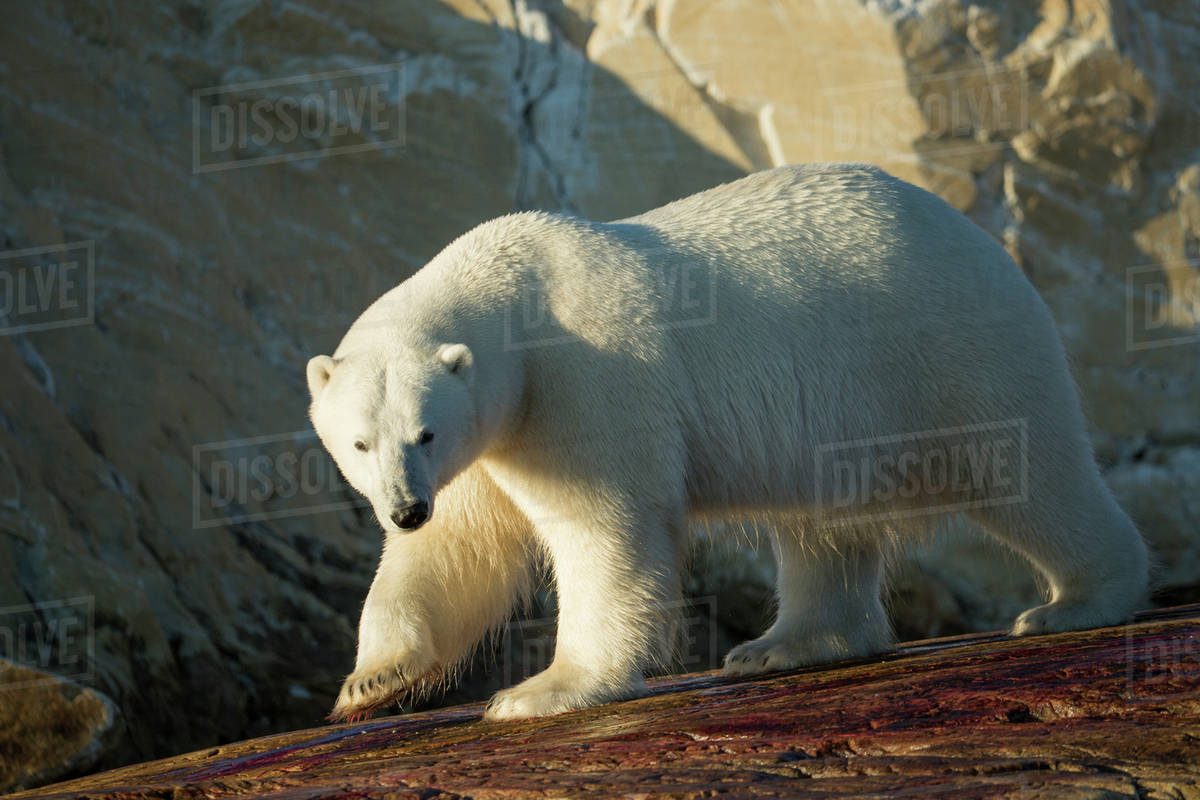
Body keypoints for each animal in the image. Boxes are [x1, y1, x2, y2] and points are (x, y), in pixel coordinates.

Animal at [307, 163, 1149, 723]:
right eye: (359, 443)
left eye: (424, 430)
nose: (403, 508)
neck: (517, 292)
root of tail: (979, 235)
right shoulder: (495, 436)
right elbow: (456, 549)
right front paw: (370, 681)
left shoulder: (580, 381)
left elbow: (603, 527)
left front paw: (544, 689)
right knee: (822, 525)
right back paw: (785, 644)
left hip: (951, 351)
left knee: (1030, 472)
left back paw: (1076, 603)